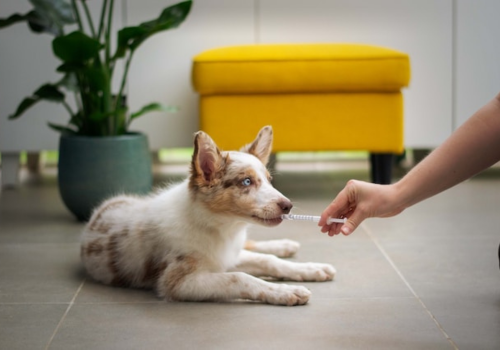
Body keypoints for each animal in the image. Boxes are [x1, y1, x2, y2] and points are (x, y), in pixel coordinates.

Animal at [80, 126, 334, 306]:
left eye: (269, 180)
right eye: (247, 182)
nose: (288, 206)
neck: (219, 227)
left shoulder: (227, 255)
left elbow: (267, 261)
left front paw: (310, 269)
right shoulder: (178, 282)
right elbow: (240, 277)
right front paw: (286, 291)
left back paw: (285, 246)